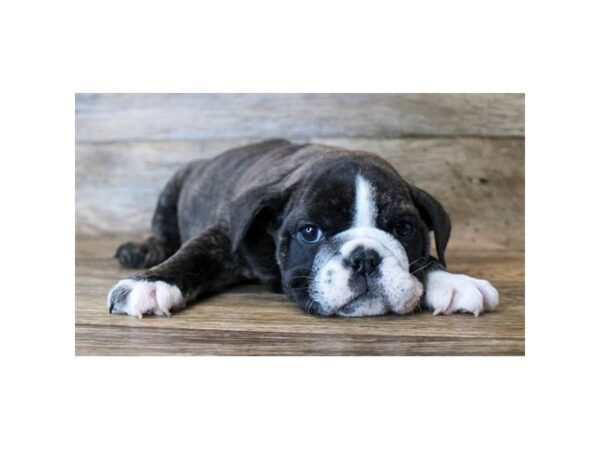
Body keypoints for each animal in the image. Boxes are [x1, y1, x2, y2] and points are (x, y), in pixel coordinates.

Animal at [106, 139, 496, 318]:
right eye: (310, 233)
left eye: (402, 229)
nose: (365, 259)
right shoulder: (224, 235)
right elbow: (194, 253)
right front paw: (151, 283)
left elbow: (424, 261)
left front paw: (451, 280)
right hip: (172, 188)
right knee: (163, 231)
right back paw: (142, 251)